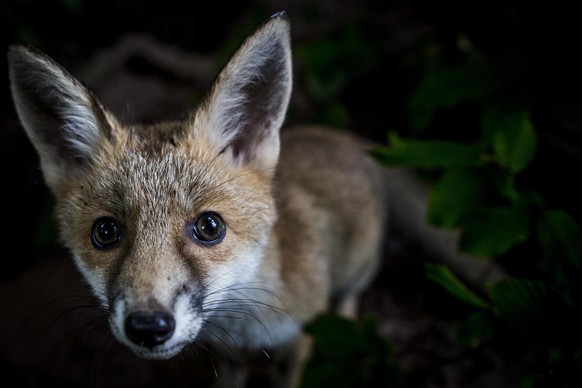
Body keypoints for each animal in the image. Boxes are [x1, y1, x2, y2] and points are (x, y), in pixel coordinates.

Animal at [5, 9, 506, 388]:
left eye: (209, 227)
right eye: (106, 232)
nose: (148, 327)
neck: (243, 322)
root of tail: (347, 139)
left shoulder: (299, 339)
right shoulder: (225, 354)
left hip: (357, 268)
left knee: (350, 297)